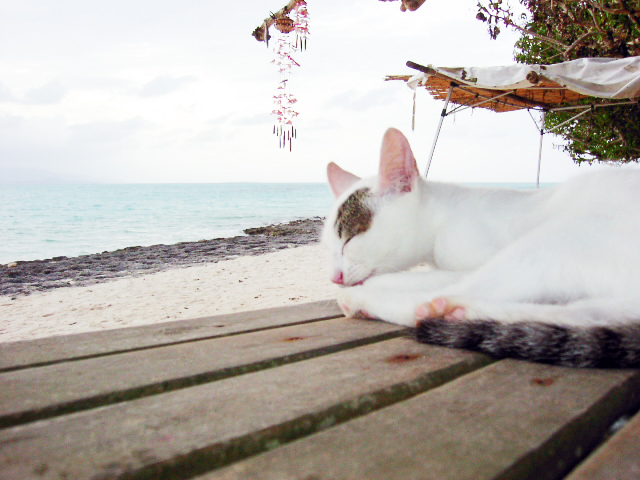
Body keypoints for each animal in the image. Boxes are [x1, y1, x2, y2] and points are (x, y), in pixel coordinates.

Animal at [324, 127, 640, 368]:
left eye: (350, 239)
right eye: (330, 247)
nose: (334, 277)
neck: (443, 217)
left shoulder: (469, 260)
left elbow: (417, 279)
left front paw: (366, 287)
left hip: (554, 241)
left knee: (430, 301)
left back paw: (365, 302)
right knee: (584, 313)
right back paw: (466, 314)